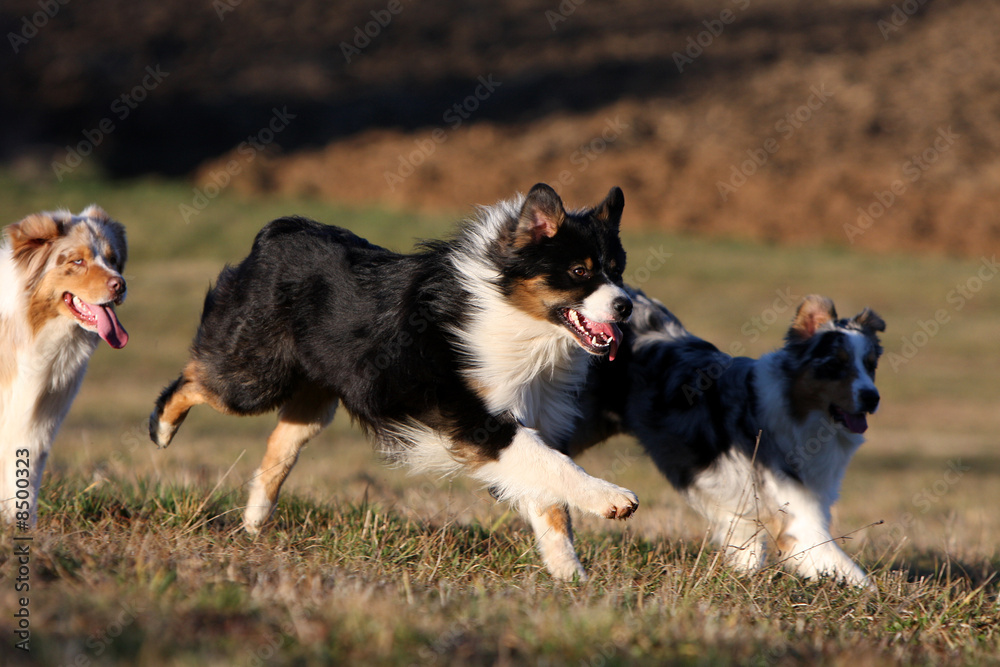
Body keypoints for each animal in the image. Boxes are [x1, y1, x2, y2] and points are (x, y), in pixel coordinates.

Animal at [152, 185, 636, 580]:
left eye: (617, 270)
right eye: (579, 271)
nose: (627, 306)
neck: (521, 321)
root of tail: (278, 231)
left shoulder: (535, 416)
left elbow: (550, 501)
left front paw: (571, 578)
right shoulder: (481, 421)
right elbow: (556, 466)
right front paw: (612, 499)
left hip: (315, 398)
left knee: (281, 443)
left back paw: (254, 518)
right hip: (254, 376)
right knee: (193, 380)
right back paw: (161, 429)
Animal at [572, 290, 884, 588]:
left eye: (871, 365)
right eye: (834, 365)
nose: (872, 397)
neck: (795, 412)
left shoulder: (746, 518)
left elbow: (748, 557)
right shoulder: (800, 521)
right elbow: (858, 579)